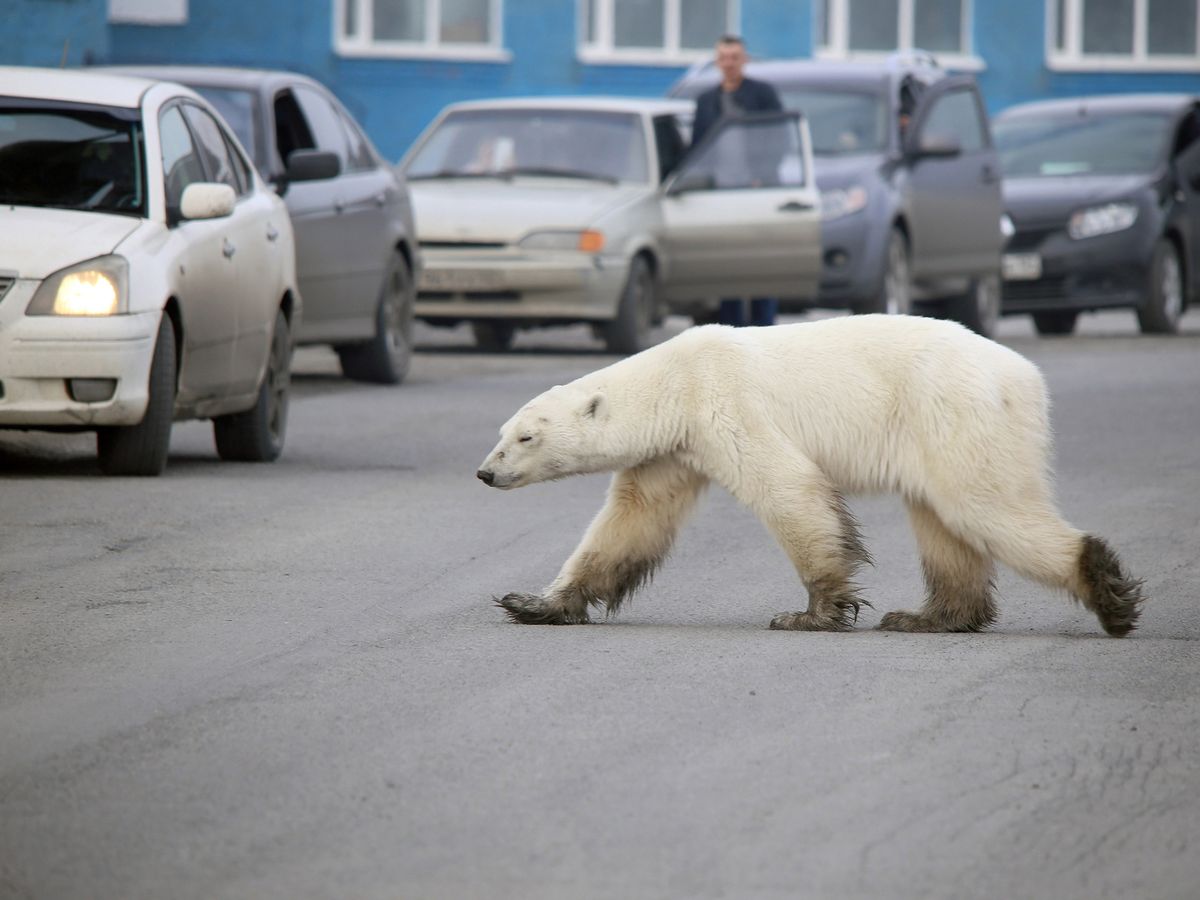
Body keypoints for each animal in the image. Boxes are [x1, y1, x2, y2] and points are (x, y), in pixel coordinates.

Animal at [477, 314, 1142, 638]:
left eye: (526, 437)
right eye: (502, 431)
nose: (484, 473)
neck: (675, 380)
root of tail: (1025, 376)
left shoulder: (726, 404)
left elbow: (788, 489)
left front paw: (812, 614)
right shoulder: (672, 451)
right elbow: (631, 521)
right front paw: (532, 603)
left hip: (953, 411)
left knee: (984, 506)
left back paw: (1107, 591)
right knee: (943, 523)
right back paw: (928, 617)